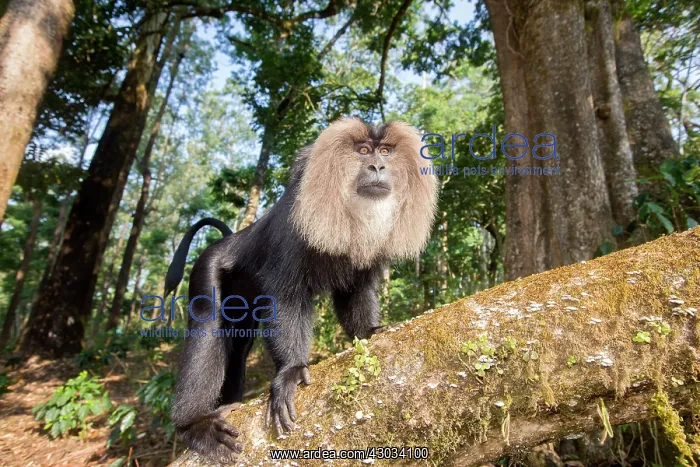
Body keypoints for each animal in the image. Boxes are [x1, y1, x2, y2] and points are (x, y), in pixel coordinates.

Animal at [166, 118, 439, 462]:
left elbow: (354, 292)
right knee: (207, 323)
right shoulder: (293, 227)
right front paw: (292, 370)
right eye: (364, 151)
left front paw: (370, 330)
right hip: (208, 266)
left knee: (238, 347)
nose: (378, 166)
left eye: (386, 152)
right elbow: (285, 296)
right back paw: (194, 424)